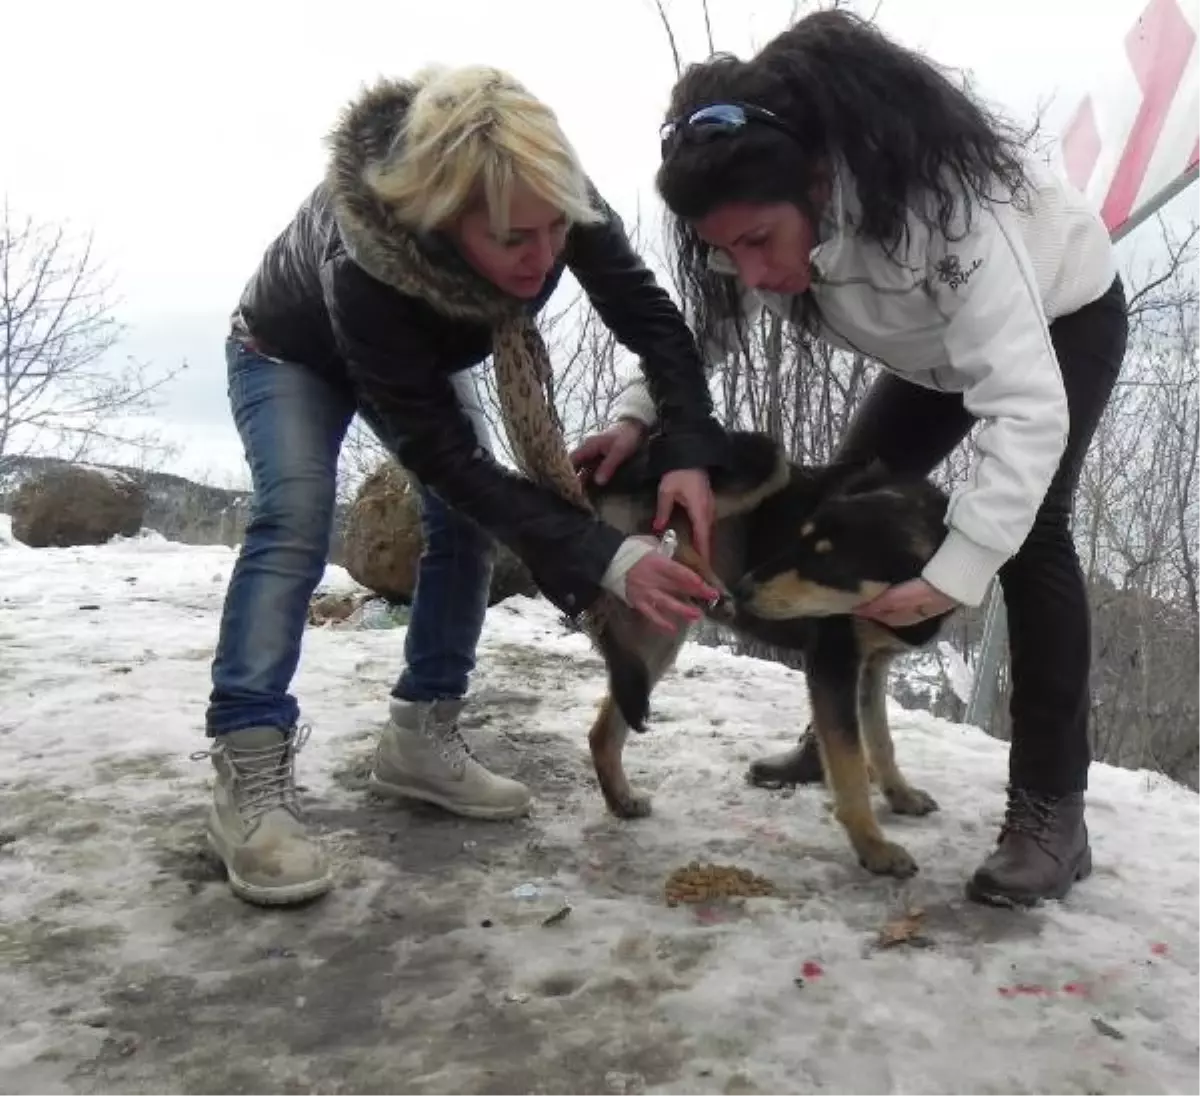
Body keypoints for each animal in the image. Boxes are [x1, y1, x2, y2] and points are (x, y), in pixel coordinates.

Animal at [580, 427, 955, 878]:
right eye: (799, 540)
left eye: (827, 564)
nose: (744, 589)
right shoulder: (834, 662)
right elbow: (849, 763)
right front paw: (873, 846)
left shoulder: (872, 665)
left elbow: (881, 738)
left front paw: (901, 795)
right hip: (761, 456)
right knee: (689, 517)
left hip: (659, 621)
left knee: (607, 724)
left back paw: (621, 799)